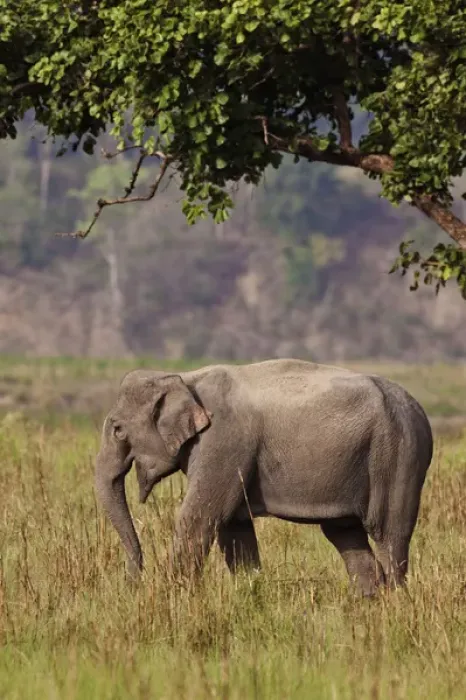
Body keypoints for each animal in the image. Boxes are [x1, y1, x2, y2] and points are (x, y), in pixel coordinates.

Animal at [95, 359, 433, 596]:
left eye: (118, 429)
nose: (133, 580)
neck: (185, 378)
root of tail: (420, 411)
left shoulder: (223, 443)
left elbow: (200, 518)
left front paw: (173, 596)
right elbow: (234, 528)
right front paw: (248, 594)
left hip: (398, 456)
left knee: (388, 534)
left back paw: (394, 602)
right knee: (346, 533)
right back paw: (369, 604)